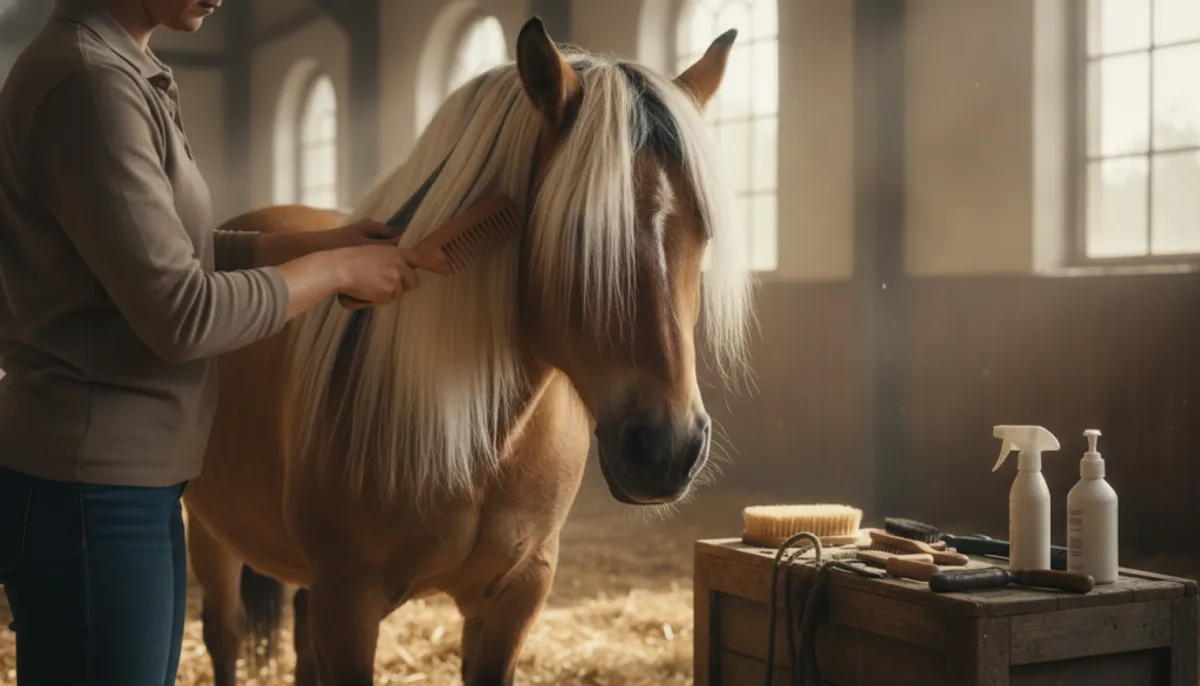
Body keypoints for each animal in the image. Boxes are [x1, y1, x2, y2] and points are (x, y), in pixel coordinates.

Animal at [182, 16, 754, 685]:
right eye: (577, 229)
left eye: (704, 233)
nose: (666, 449)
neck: (485, 441)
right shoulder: (347, 602)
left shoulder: (515, 596)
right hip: (212, 538)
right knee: (223, 636)